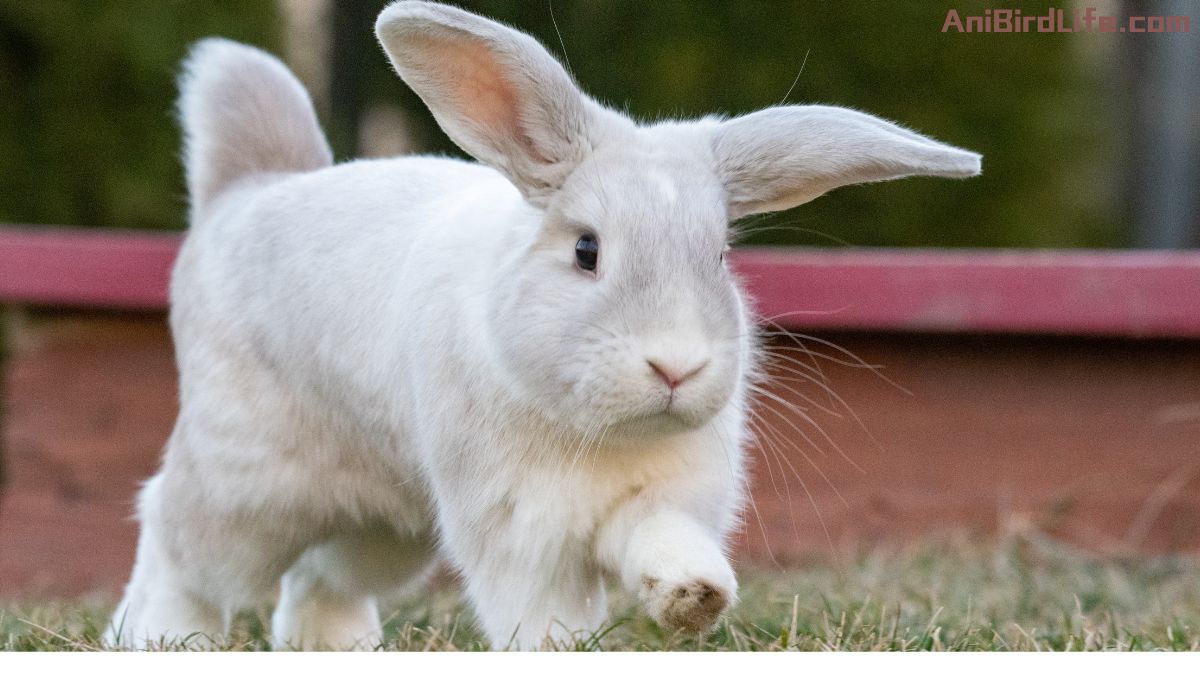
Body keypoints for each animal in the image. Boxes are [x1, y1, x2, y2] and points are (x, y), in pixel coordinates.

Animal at [108, 1, 979, 653]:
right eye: (587, 250)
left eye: (720, 254)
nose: (676, 367)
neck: (596, 428)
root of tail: (242, 196)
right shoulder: (518, 531)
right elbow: (539, 612)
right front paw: (563, 646)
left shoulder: (659, 498)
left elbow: (662, 542)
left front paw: (695, 596)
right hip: (248, 485)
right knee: (175, 538)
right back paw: (153, 635)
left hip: (387, 522)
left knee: (322, 575)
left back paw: (338, 645)